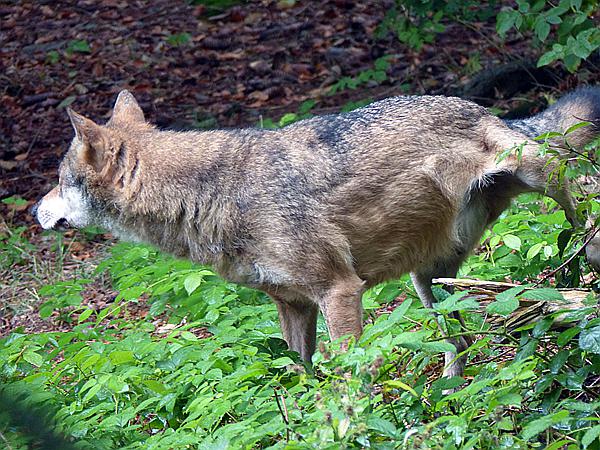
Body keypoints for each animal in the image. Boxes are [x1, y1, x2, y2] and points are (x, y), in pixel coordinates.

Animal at [32, 87, 600, 376]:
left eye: (58, 180)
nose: (36, 211)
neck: (217, 193)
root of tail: (487, 110)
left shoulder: (340, 291)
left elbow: (351, 377)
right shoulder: (293, 306)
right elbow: (304, 378)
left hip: (550, 180)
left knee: (583, 202)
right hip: (430, 283)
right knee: (458, 344)